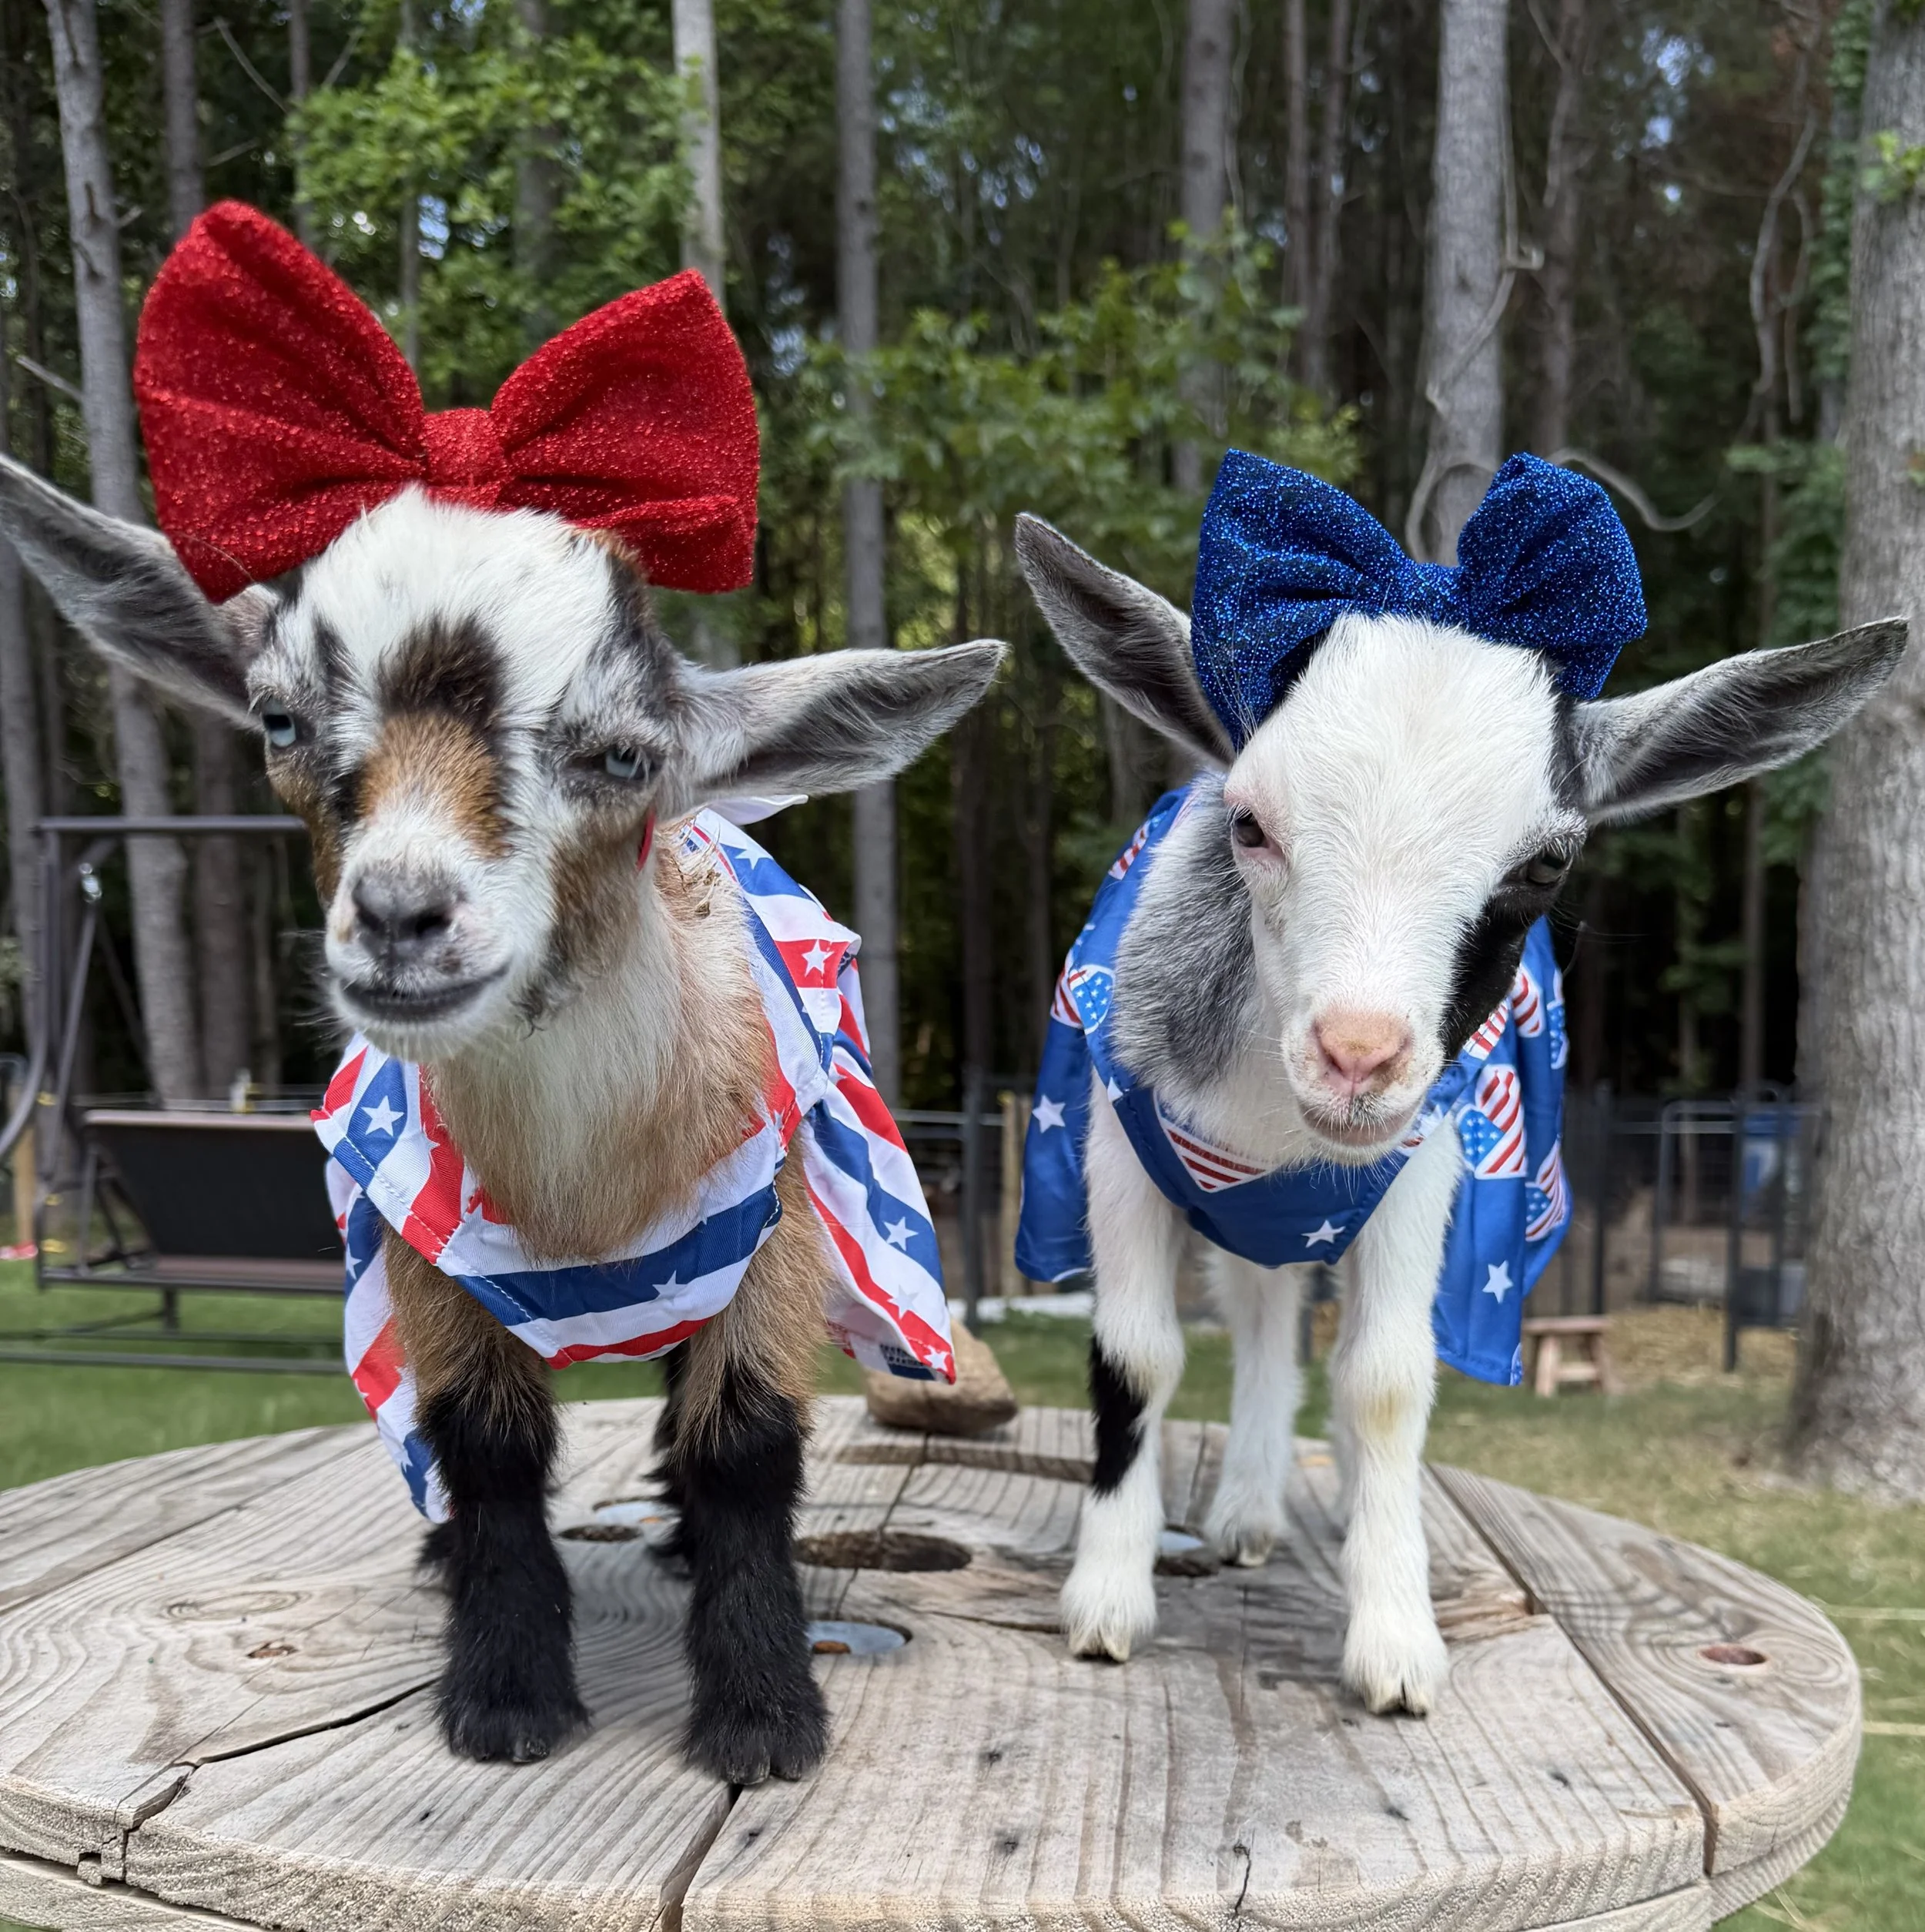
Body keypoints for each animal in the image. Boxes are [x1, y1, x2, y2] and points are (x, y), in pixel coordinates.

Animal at [0, 461, 1001, 1781]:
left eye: (624, 755)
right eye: (279, 721)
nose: (400, 916)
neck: (585, 1194)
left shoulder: (772, 1226)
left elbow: (743, 1443)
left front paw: (763, 1716)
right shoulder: (428, 1245)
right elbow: (482, 1441)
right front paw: (508, 1694)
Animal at [1011, 456, 1904, 1718]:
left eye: (1548, 862)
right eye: (1248, 821)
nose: (1357, 1056)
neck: (1283, 1133)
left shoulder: (1419, 1168)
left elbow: (1386, 1382)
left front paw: (1395, 1643)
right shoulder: (1115, 1137)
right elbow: (1138, 1353)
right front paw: (1104, 1601)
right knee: (1260, 1315)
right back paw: (1245, 1511)